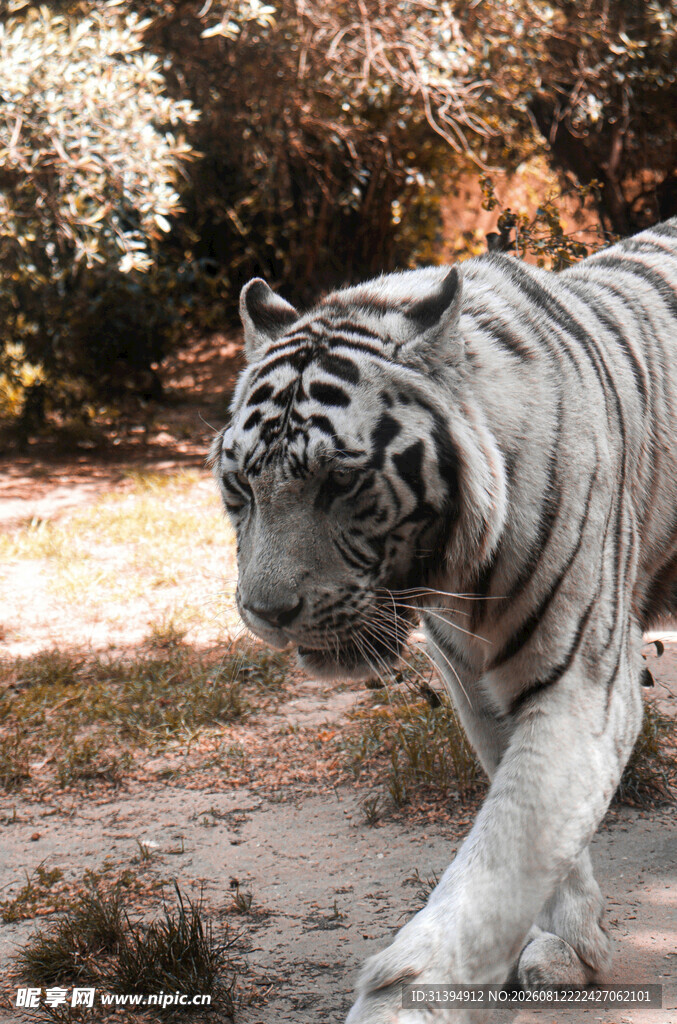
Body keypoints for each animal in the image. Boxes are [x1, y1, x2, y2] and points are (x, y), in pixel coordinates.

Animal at [210, 217, 677, 1023]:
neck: (462, 575)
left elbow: (503, 855)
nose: (265, 613)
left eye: (339, 481)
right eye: (239, 485)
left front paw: (408, 1001)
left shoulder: (581, 688)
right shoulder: (477, 687)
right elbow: (541, 841)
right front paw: (576, 948)